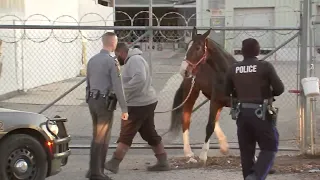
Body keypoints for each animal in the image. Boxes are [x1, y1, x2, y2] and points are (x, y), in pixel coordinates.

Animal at [168, 27, 238, 163]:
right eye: (187, 47)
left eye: (198, 48)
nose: (184, 70)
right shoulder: (215, 101)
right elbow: (209, 126)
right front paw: (203, 155)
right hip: (192, 94)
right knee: (186, 119)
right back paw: (188, 152)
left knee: (215, 119)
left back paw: (224, 146)